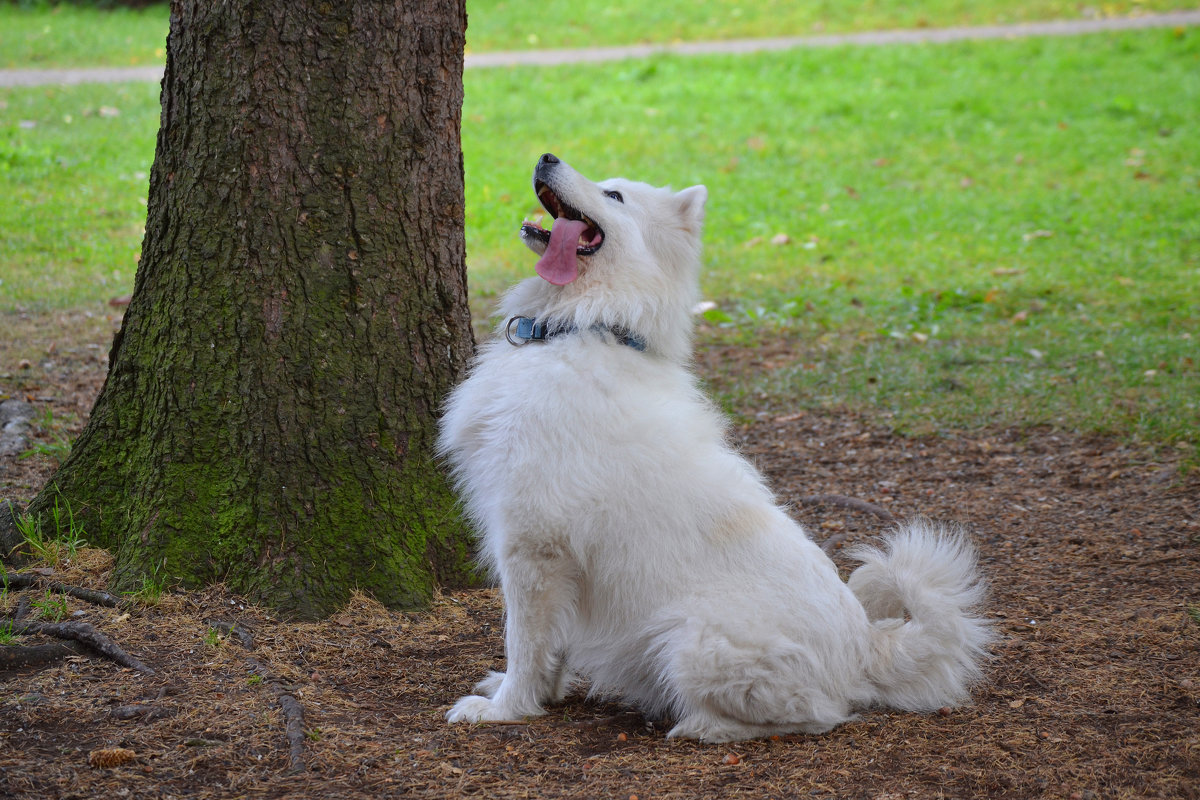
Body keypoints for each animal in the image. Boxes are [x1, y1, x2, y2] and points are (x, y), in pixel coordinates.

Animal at [436, 154, 988, 743]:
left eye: (614, 195)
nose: (546, 157)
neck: (588, 326)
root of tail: (867, 647)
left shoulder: (531, 546)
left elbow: (524, 641)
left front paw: (506, 709)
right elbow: (552, 648)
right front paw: (539, 695)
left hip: (689, 640)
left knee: (816, 715)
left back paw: (698, 726)